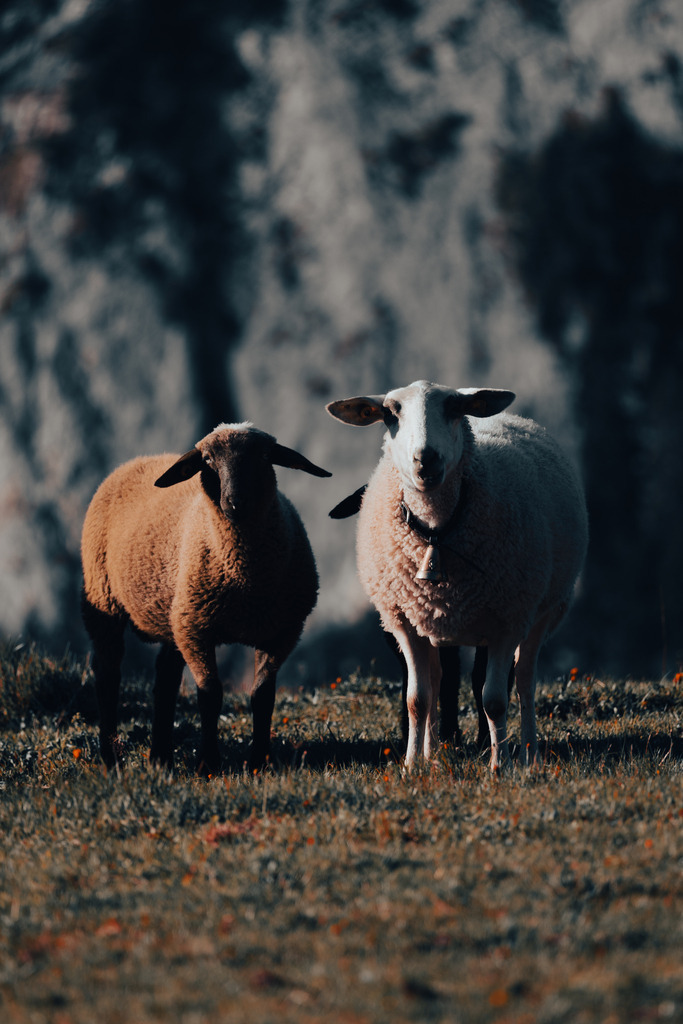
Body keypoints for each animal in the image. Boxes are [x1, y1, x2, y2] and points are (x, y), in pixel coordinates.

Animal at [81, 423, 331, 774]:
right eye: (208, 460)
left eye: (264, 456)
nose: (235, 502)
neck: (246, 582)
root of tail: (141, 459)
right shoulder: (197, 631)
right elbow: (209, 695)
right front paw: (208, 764)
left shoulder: (282, 632)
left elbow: (262, 696)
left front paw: (259, 762)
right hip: (103, 600)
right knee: (107, 674)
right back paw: (110, 759)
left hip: (174, 615)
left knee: (165, 679)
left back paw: (161, 759)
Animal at [327, 380, 588, 772]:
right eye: (390, 413)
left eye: (453, 408)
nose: (426, 458)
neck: (437, 531)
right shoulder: (405, 622)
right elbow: (417, 699)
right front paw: (411, 766)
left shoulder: (507, 620)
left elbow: (493, 699)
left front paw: (499, 766)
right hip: (435, 624)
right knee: (438, 681)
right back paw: (432, 753)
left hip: (545, 610)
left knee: (525, 680)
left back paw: (529, 753)